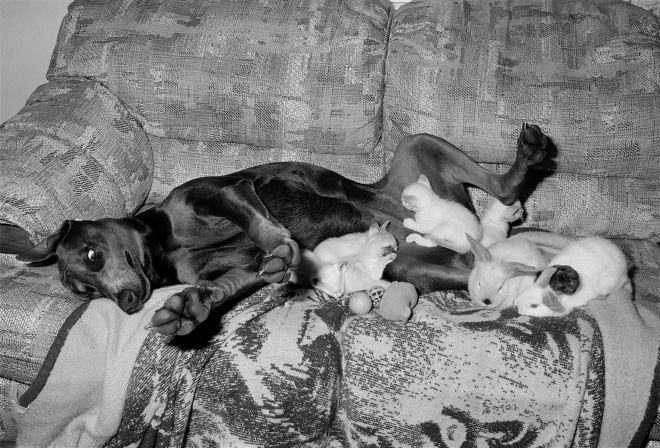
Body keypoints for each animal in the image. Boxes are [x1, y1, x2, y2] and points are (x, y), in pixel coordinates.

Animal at [19, 124, 548, 334]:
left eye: (91, 255)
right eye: (83, 292)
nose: (128, 303)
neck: (164, 246)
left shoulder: (222, 192)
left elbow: (264, 227)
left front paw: (279, 243)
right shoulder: (238, 269)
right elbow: (228, 284)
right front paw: (190, 307)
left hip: (418, 146)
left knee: (503, 186)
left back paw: (528, 156)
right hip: (418, 266)